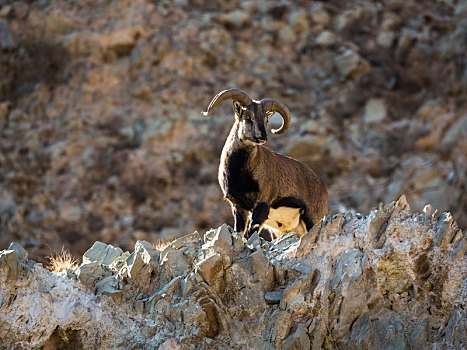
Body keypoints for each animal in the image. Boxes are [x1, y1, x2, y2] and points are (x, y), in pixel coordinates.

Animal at [202, 89, 330, 239]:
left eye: (266, 119)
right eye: (247, 116)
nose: (262, 136)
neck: (240, 173)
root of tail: (323, 189)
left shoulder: (263, 201)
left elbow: (252, 230)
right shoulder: (238, 206)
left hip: (312, 218)